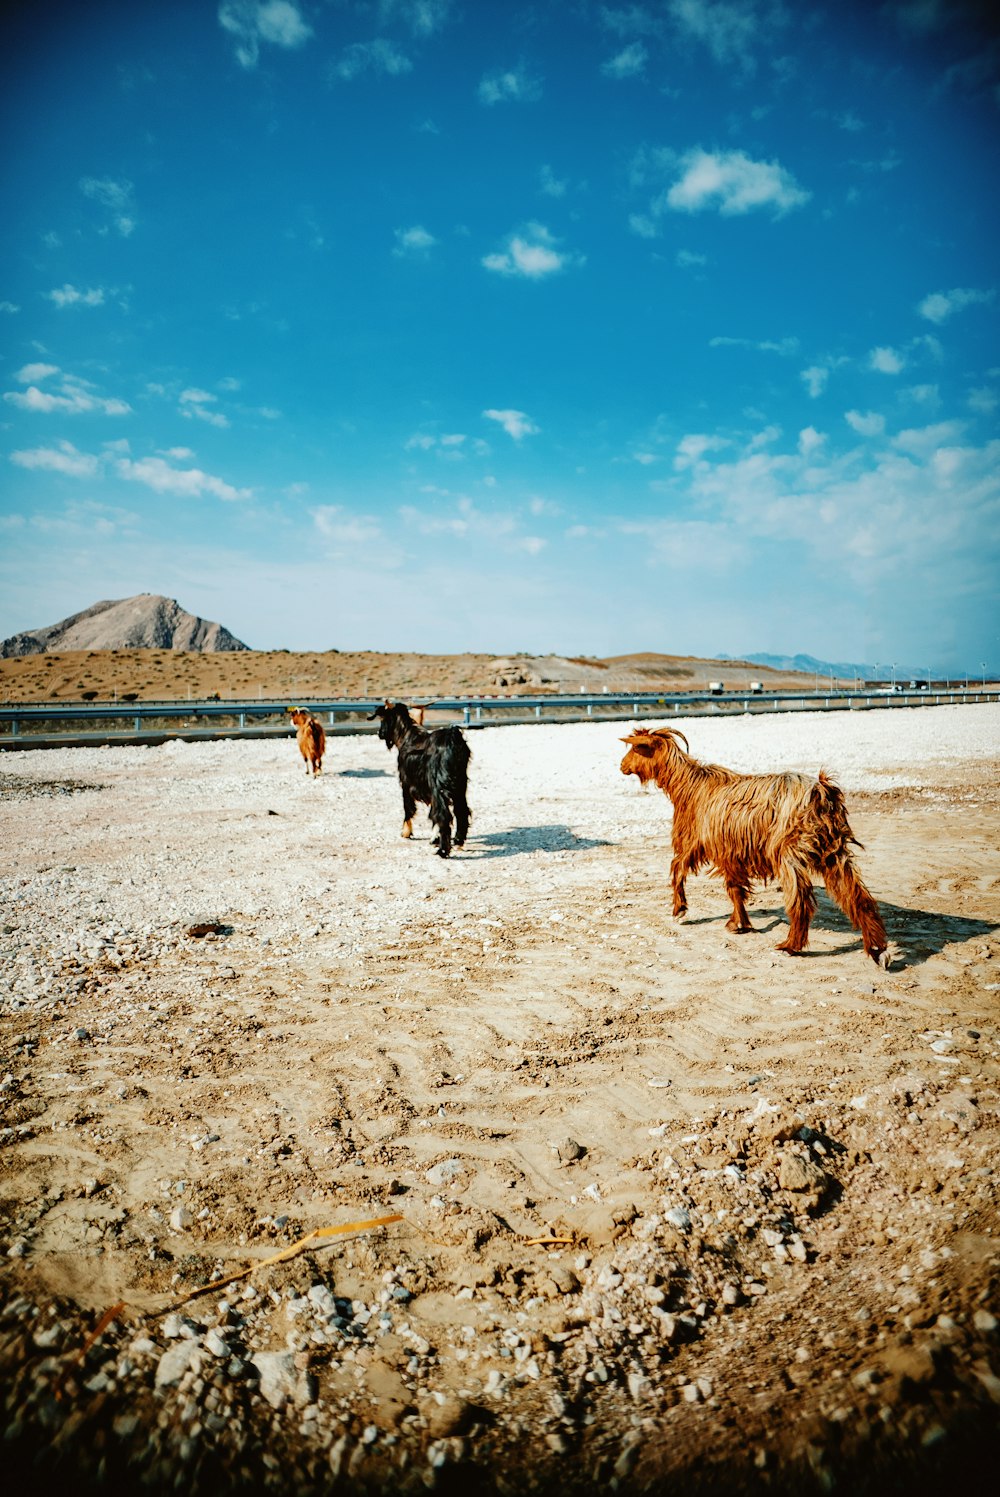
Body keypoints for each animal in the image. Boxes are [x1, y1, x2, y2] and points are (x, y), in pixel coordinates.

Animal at [366, 697, 473, 862]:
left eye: (383, 718)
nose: (380, 733)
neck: (407, 737)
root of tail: (453, 739)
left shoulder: (406, 782)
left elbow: (408, 807)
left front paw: (406, 832)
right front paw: (434, 837)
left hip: (440, 785)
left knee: (444, 814)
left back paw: (443, 851)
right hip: (460, 784)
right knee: (461, 811)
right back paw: (458, 841)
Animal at [616, 727, 892, 970]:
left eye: (636, 748)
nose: (621, 766)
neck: (690, 787)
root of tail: (822, 791)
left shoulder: (701, 843)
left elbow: (680, 868)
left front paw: (681, 910)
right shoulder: (730, 853)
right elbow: (735, 889)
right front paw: (740, 923)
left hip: (790, 852)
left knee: (801, 901)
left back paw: (790, 946)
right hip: (834, 851)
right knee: (858, 896)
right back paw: (878, 950)